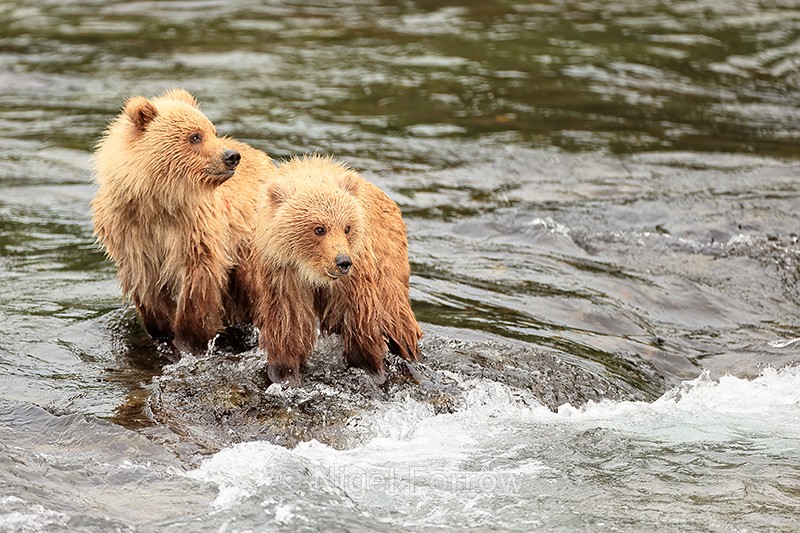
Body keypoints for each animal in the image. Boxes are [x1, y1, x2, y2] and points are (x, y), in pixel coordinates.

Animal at [92, 88, 274, 355]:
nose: (231, 156)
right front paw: (161, 333)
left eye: (212, 131)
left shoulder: (195, 230)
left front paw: (190, 339)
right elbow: (147, 288)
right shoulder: (132, 233)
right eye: (195, 136)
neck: (158, 202)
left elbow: (197, 287)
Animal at [242, 155, 422, 385]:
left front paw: (370, 369)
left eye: (347, 227)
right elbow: (288, 320)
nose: (343, 261)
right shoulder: (283, 273)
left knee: (398, 319)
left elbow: (361, 319)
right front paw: (284, 373)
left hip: (388, 263)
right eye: (319, 229)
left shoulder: (355, 275)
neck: (312, 271)